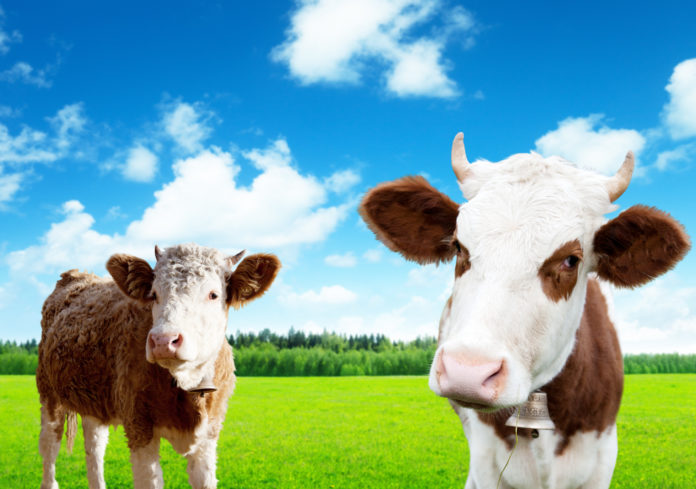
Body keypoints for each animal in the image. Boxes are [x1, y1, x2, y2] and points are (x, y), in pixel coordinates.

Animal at [37, 243, 280, 489]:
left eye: (214, 294)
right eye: (153, 295)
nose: (164, 340)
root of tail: (77, 273)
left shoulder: (209, 434)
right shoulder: (138, 426)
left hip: (94, 399)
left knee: (94, 445)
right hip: (49, 393)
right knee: (49, 446)